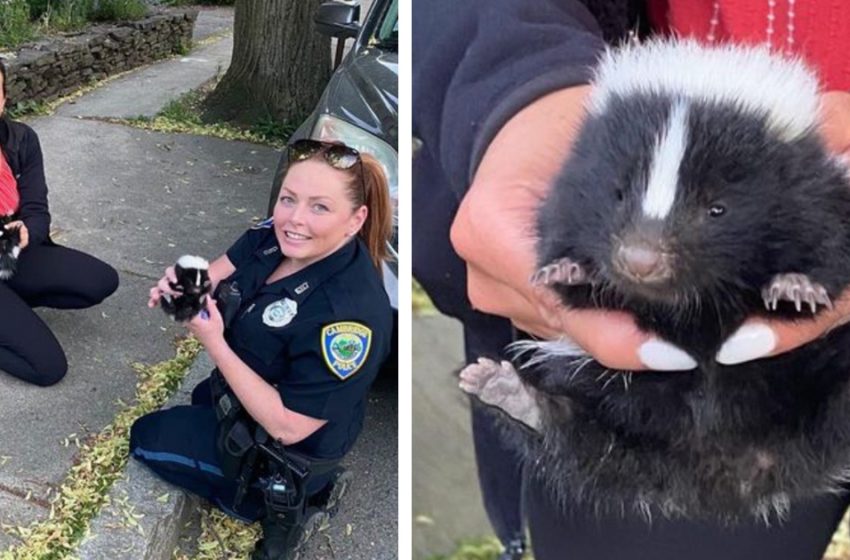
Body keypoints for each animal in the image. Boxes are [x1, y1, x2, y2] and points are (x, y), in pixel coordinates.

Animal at [460, 40, 848, 524]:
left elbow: (831, 249)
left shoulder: (819, 197)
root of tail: (719, 481)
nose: (639, 260)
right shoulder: (566, 197)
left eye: (716, 208)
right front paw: (568, 269)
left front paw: (795, 287)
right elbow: (559, 238)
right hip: (614, 416)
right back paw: (509, 393)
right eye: (618, 193)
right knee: (572, 439)